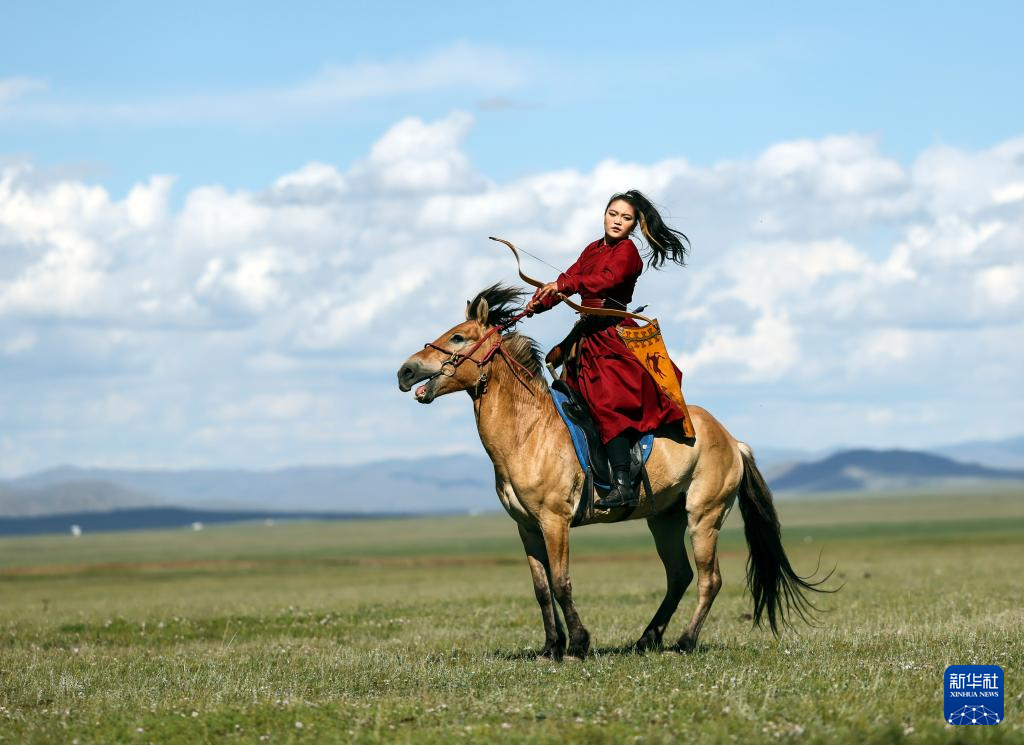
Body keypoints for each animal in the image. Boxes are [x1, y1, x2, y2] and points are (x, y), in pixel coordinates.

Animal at [397, 284, 829, 659]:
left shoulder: (554, 520)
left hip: (703, 517)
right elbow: (541, 589)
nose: (405, 372)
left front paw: (577, 645)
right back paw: (647, 639)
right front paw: (550, 648)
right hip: (665, 519)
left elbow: (561, 583)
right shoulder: (527, 526)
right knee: (679, 576)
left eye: (458, 338)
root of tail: (732, 439)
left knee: (710, 579)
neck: (529, 432)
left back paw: (683, 643)